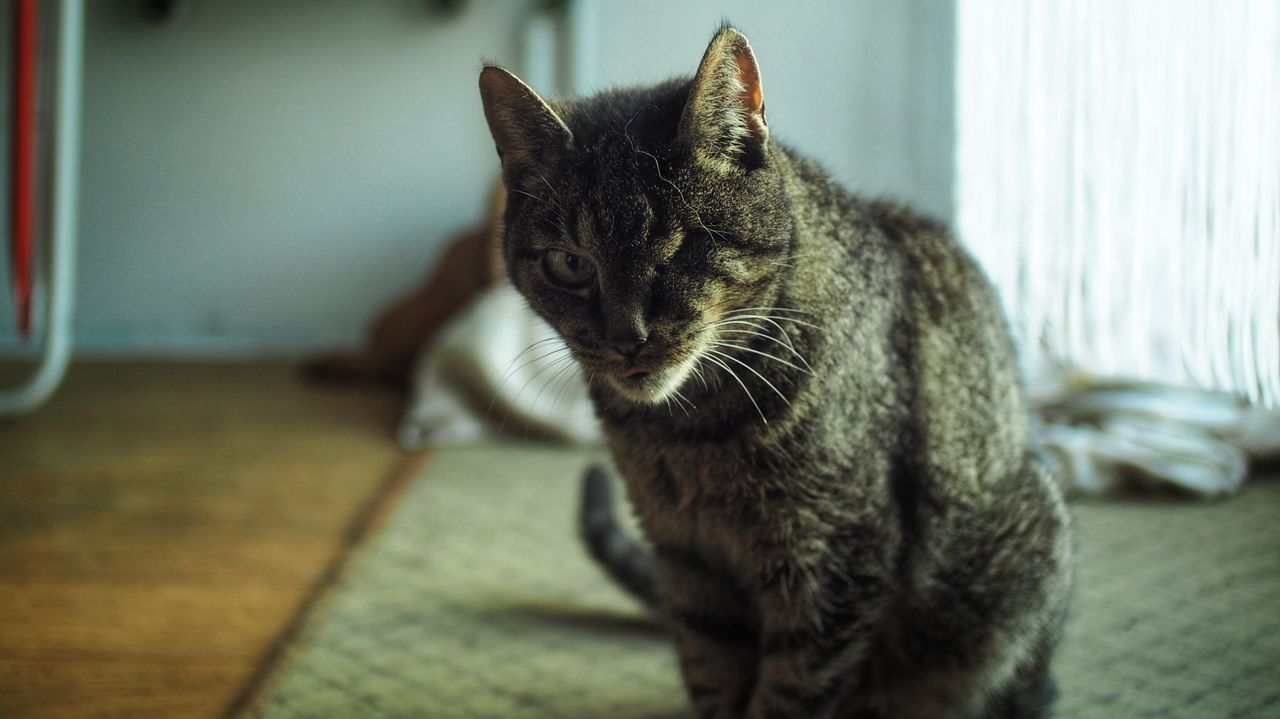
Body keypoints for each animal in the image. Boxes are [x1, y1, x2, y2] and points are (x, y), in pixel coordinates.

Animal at [478, 25, 1070, 711]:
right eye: (570, 264)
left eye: (685, 247)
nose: (628, 338)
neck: (689, 433)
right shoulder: (687, 558)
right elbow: (714, 669)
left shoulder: (831, 558)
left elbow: (793, 690)